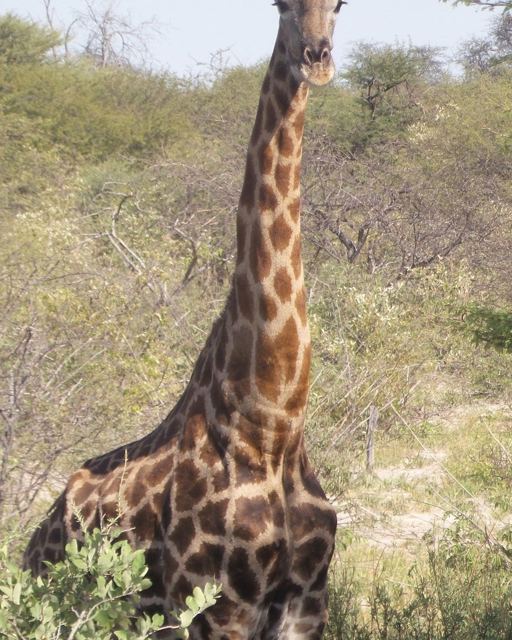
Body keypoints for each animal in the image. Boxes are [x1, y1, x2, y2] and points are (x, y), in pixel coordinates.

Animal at [24, 1, 343, 637]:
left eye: (342, 6)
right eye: (280, 6)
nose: (316, 58)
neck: (272, 424)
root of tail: (28, 547)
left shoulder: (306, 600)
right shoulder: (220, 604)